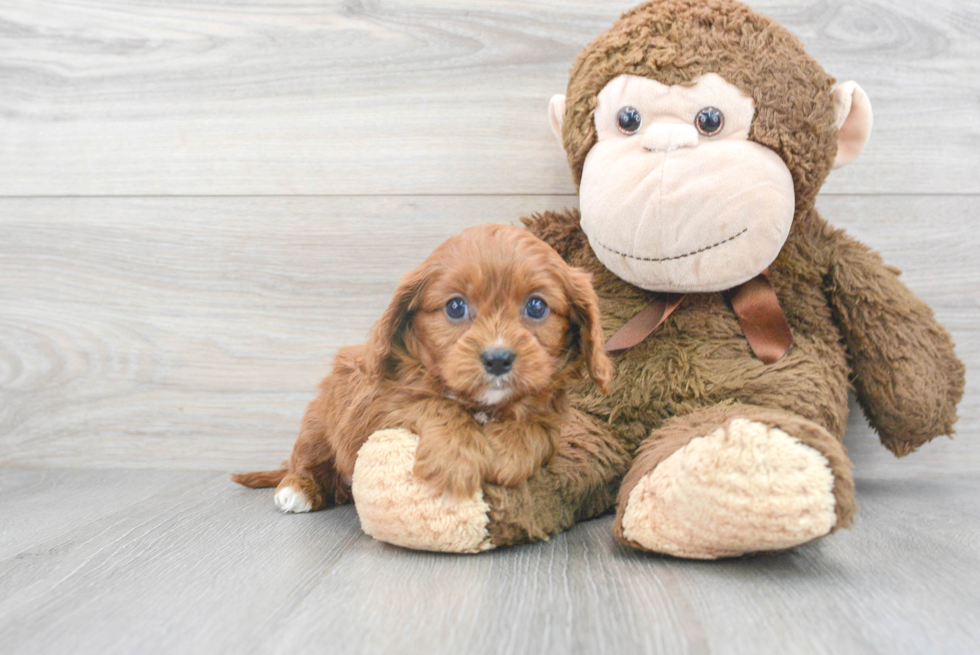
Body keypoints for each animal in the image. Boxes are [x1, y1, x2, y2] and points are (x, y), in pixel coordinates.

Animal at [232, 224, 612, 512]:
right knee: (305, 460)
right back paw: (297, 490)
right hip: (318, 424)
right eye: (455, 307)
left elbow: (536, 423)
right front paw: (455, 460)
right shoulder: (378, 406)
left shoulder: (549, 409)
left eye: (536, 306)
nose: (498, 359)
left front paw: (510, 450)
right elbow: (435, 405)